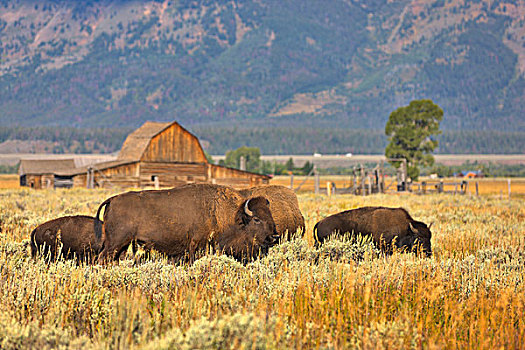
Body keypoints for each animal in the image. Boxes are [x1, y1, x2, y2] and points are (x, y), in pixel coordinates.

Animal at [95, 183, 280, 262]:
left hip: (122, 245)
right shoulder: (197, 244)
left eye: (270, 214)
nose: (274, 237)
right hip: (116, 242)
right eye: (256, 219)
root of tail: (112, 199)